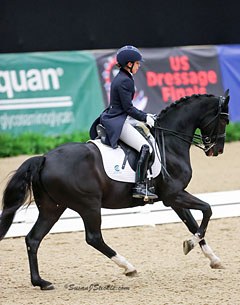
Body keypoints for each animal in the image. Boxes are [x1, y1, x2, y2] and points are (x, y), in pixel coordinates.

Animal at [0, 91, 230, 288]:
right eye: (224, 120)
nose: (217, 150)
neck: (169, 143)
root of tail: (45, 158)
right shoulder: (174, 195)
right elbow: (207, 210)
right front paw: (190, 244)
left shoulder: (173, 199)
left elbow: (193, 223)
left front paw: (214, 259)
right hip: (88, 205)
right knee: (93, 238)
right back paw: (128, 267)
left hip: (52, 208)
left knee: (33, 239)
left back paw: (41, 282)